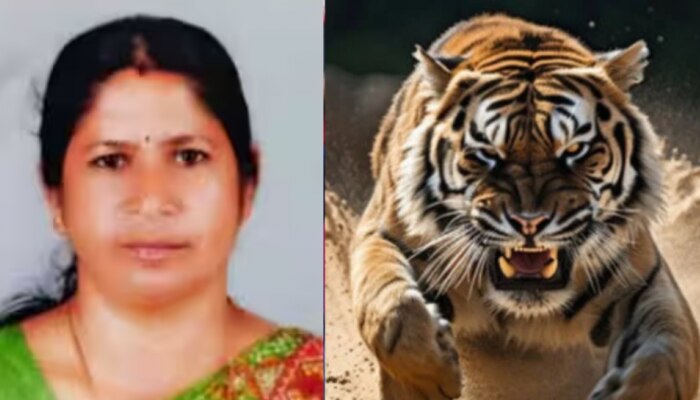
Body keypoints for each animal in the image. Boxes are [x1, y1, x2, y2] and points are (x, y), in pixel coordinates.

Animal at [349, 14, 700, 400]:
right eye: (487, 152)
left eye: (574, 150)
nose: (529, 222)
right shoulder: (384, 235)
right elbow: (393, 303)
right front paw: (435, 371)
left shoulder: (643, 279)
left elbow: (669, 350)